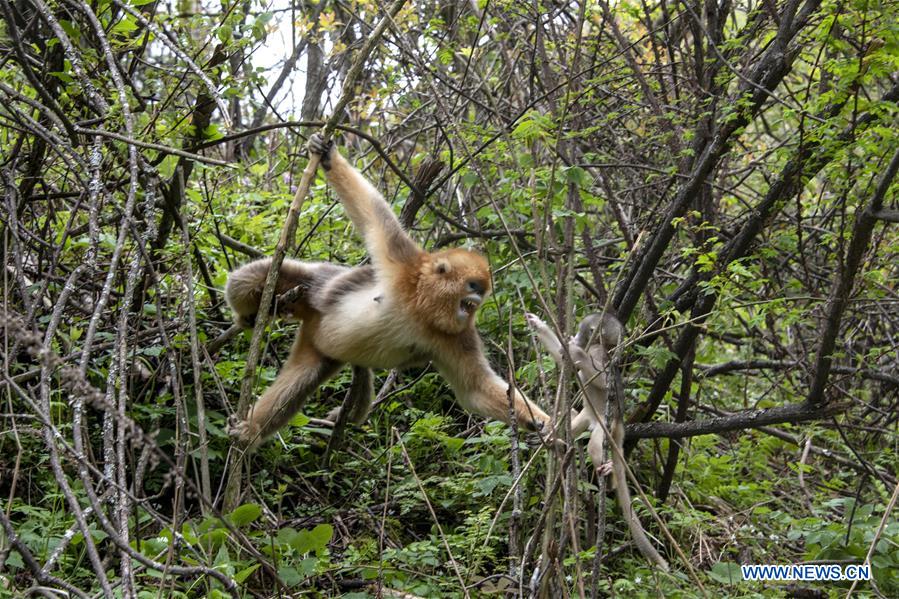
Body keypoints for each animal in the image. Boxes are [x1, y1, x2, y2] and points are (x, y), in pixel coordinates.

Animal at [225, 135, 551, 448]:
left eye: (481, 293)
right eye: (474, 287)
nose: (476, 302)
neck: (421, 308)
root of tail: (311, 323)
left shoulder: (457, 335)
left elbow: (475, 389)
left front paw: (542, 423)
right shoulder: (404, 266)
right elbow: (372, 213)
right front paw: (328, 157)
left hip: (321, 349)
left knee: (301, 379)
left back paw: (252, 430)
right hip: (313, 292)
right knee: (253, 277)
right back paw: (248, 317)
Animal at [526, 312, 670, 571]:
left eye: (583, 332)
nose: (576, 337)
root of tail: (620, 423)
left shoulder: (598, 354)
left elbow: (602, 379)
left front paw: (575, 350)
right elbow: (563, 360)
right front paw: (538, 324)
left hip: (606, 426)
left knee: (594, 445)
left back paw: (609, 478)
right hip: (590, 418)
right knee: (575, 418)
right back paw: (554, 439)